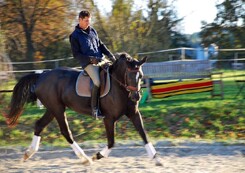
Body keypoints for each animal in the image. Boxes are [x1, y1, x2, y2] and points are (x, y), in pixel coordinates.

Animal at [3, 53, 163, 166]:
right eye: (128, 75)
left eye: (140, 75)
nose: (136, 96)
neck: (120, 88)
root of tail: (42, 75)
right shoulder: (109, 119)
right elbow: (111, 141)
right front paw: (98, 155)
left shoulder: (134, 114)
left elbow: (144, 134)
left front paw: (157, 159)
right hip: (58, 109)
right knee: (65, 132)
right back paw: (85, 159)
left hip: (52, 109)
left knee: (39, 125)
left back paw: (28, 153)